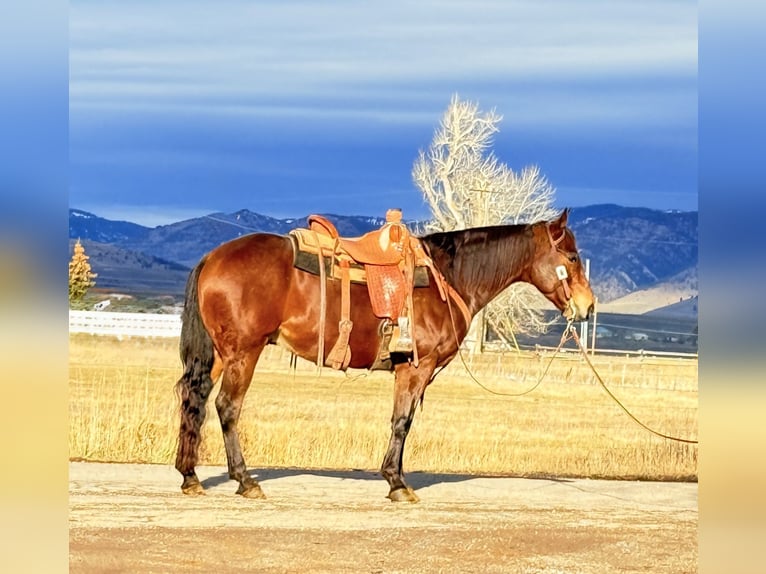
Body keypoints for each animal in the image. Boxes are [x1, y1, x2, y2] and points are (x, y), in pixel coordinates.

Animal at [174, 209, 594, 502]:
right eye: (573, 257)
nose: (588, 306)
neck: (450, 277)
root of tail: (212, 258)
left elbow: (400, 419)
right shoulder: (416, 367)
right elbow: (402, 422)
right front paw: (397, 483)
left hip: (217, 356)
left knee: (193, 400)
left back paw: (190, 476)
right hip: (244, 352)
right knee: (227, 407)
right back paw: (245, 481)